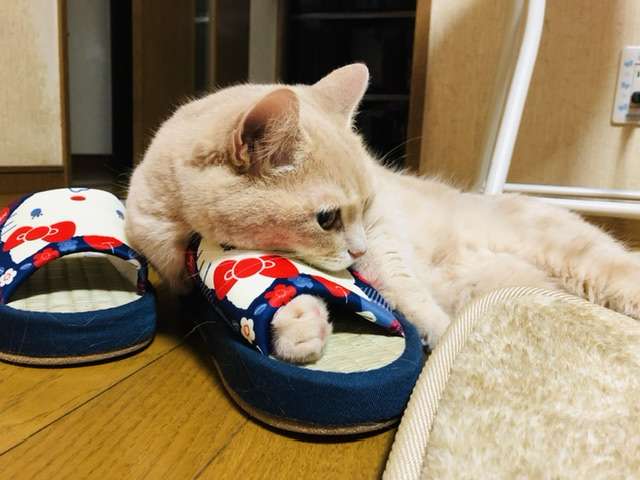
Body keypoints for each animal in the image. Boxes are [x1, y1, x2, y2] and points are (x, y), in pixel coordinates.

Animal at [126, 63, 640, 363]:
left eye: (367, 205)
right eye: (327, 219)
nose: (357, 249)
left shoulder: (385, 235)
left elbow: (403, 287)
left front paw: (443, 335)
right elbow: (284, 288)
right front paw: (299, 327)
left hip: (582, 259)